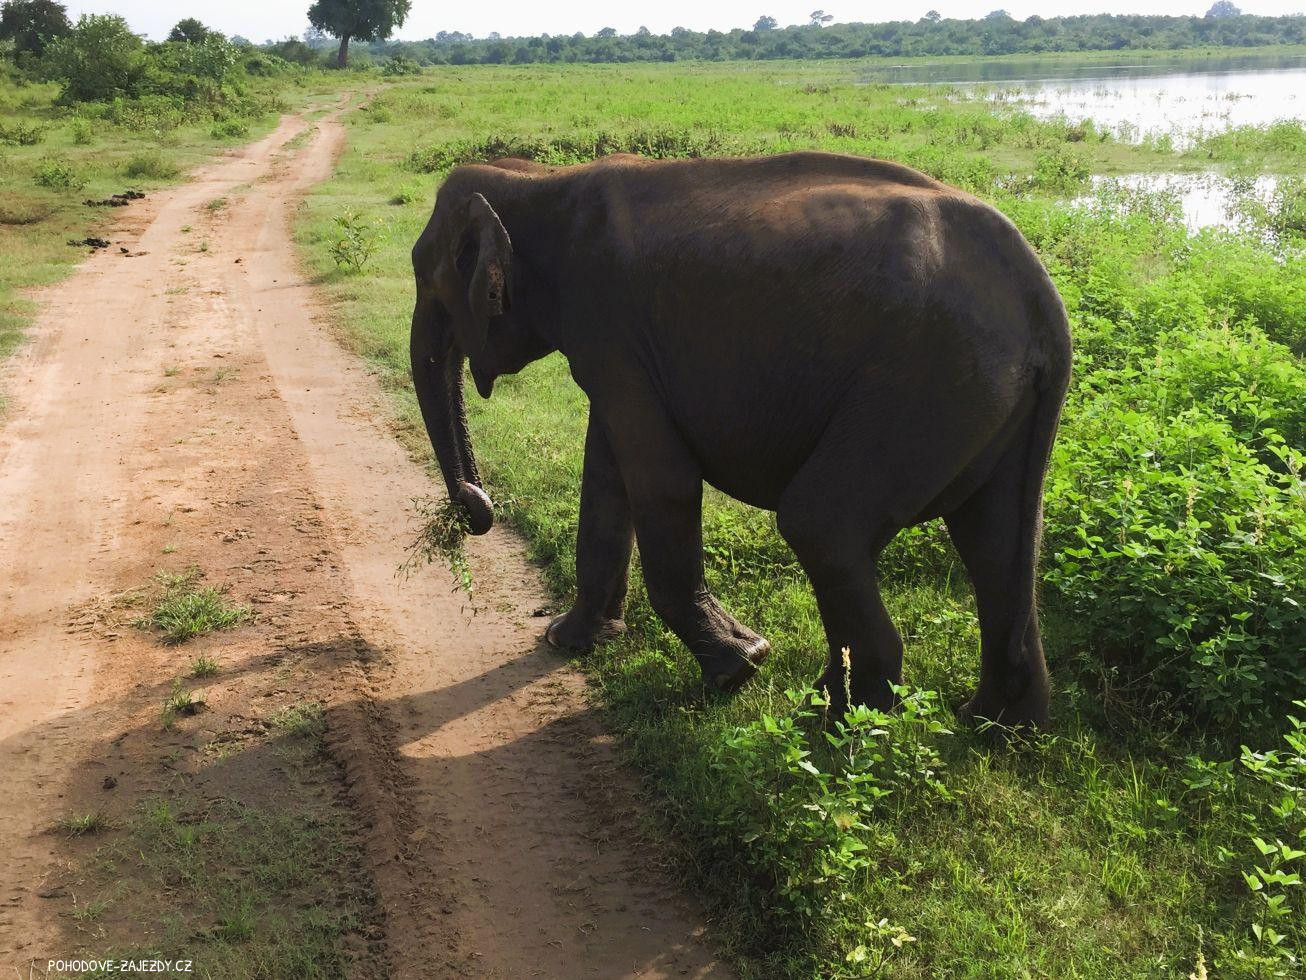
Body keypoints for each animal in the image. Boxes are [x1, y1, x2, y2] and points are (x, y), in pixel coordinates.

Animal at [410, 150, 1072, 728]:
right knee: (996, 537)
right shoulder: (619, 349)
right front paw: (570, 643)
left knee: (822, 522)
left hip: (929, 379)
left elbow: (662, 480)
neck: (539, 181)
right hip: (984, 394)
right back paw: (996, 725)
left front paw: (741, 668)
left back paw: (838, 718)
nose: (474, 508)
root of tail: (1040, 298)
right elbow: (607, 473)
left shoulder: (609, 326)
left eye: (430, 281)